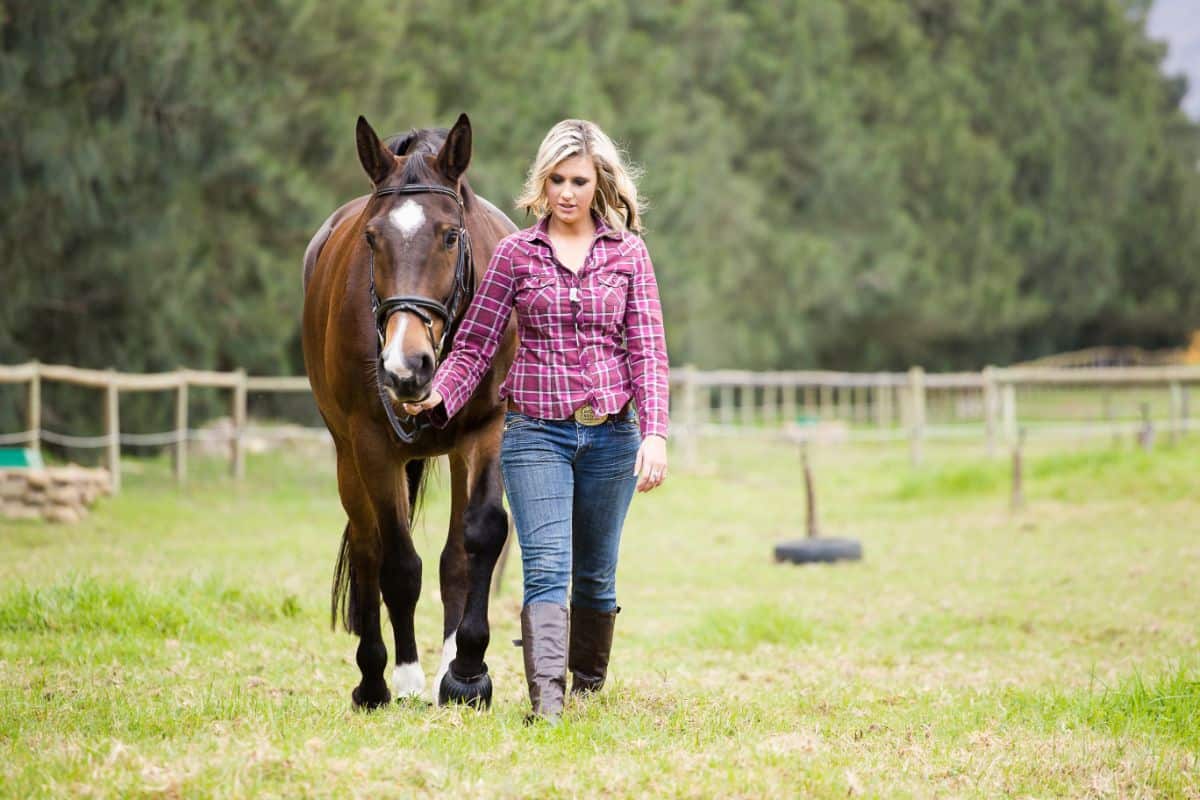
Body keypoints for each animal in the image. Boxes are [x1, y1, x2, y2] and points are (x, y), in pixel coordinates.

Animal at [300, 112, 516, 705]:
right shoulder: (373, 443)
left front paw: (466, 672)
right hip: (348, 455)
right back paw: (374, 679)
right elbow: (396, 563)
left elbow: (477, 540)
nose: (405, 366)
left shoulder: (488, 430)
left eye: (450, 235)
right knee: (367, 546)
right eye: (372, 238)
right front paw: (407, 677)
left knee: (451, 556)